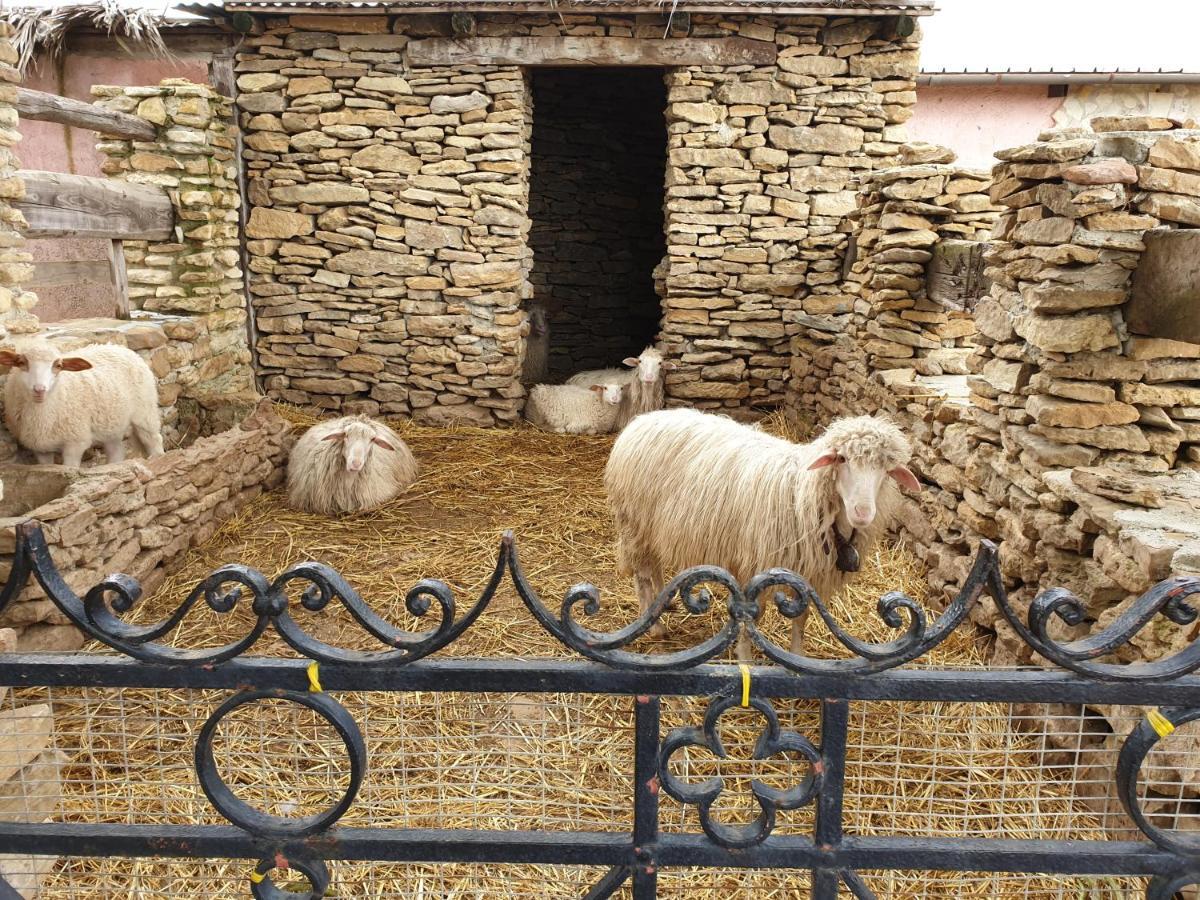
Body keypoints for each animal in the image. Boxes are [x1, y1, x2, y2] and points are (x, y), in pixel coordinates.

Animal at [0, 336, 164, 468]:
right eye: (21, 362)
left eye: (58, 366)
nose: (39, 389)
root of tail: (121, 348)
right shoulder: (40, 448)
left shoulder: (75, 442)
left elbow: (69, 468)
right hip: (112, 423)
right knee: (116, 450)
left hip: (145, 411)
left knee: (153, 439)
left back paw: (158, 458)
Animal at [604, 412, 921, 657]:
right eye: (841, 459)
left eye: (886, 469)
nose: (862, 512)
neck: (803, 495)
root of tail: (641, 420)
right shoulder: (752, 567)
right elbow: (748, 621)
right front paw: (745, 659)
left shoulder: (807, 575)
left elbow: (801, 619)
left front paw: (797, 656)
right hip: (634, 523)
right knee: (642, 575)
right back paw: (654, 626)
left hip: (653, 527)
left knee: (654, 565)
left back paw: (663, 604)